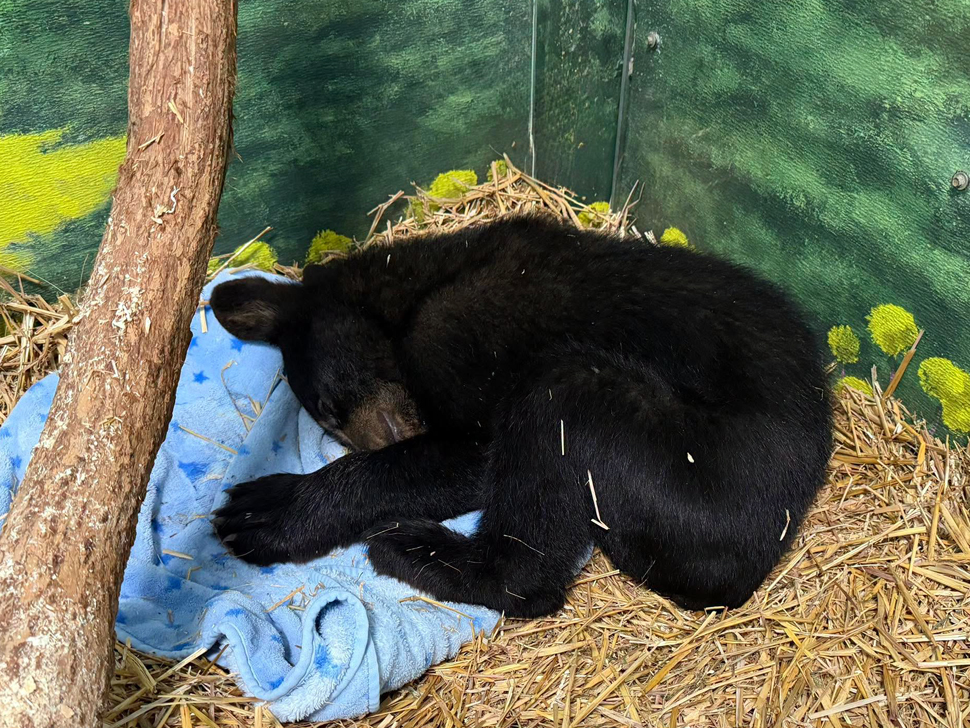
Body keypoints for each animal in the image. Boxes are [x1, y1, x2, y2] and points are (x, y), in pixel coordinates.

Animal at [209, 214, 832, 618]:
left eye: (331, 412)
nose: (389, 434)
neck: (415, 289)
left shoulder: (452, 333)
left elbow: (472, 450)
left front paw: (267, 510)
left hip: (690, 474)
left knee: (553, 422)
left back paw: (419, 551)